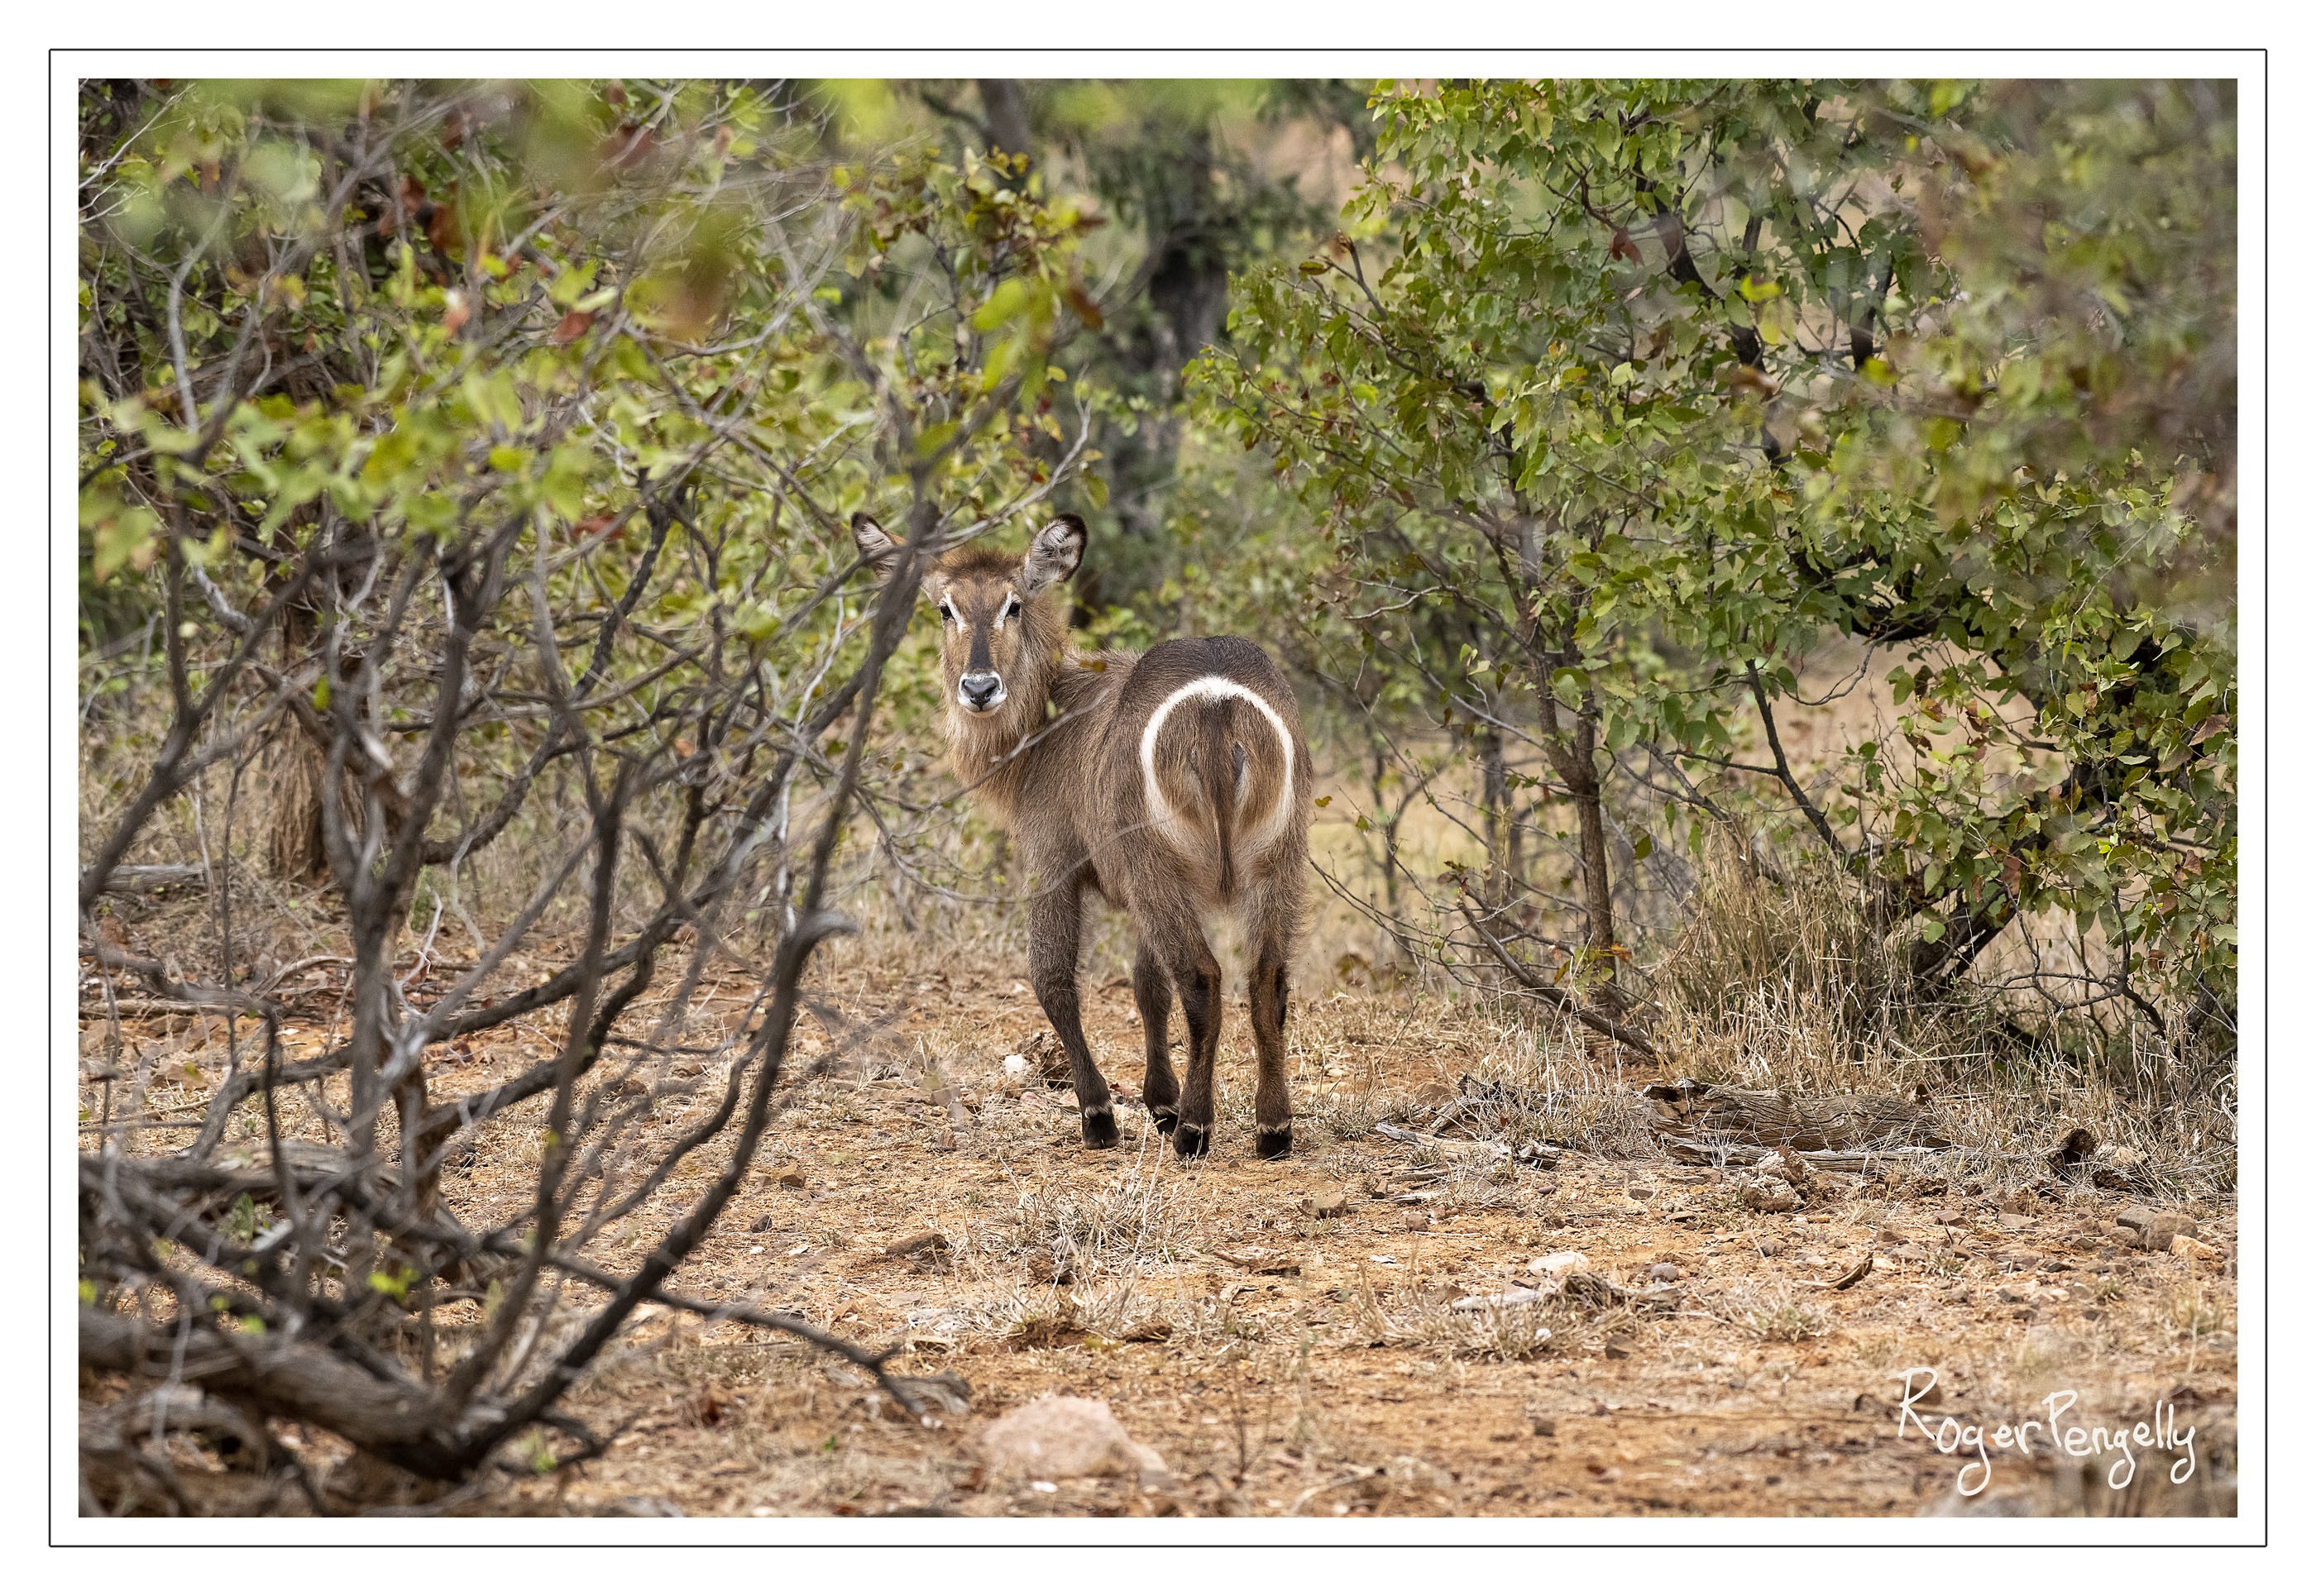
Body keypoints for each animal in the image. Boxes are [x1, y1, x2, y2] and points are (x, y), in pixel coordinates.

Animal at [857, 509, 1324, 1158]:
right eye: (945, 609)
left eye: (1013, 604)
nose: (979, 688)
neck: (1047, 723)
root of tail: (1216, 700)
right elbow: (1147, 985)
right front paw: (1159, 1100)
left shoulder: (1051, 862)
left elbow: (1052, 978)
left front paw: (1101, 1114)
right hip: (1278, 860)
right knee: (1266, 979)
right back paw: (1273, 1128)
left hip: (1157, 865)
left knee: (1202, 978)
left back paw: (1195, 1130)